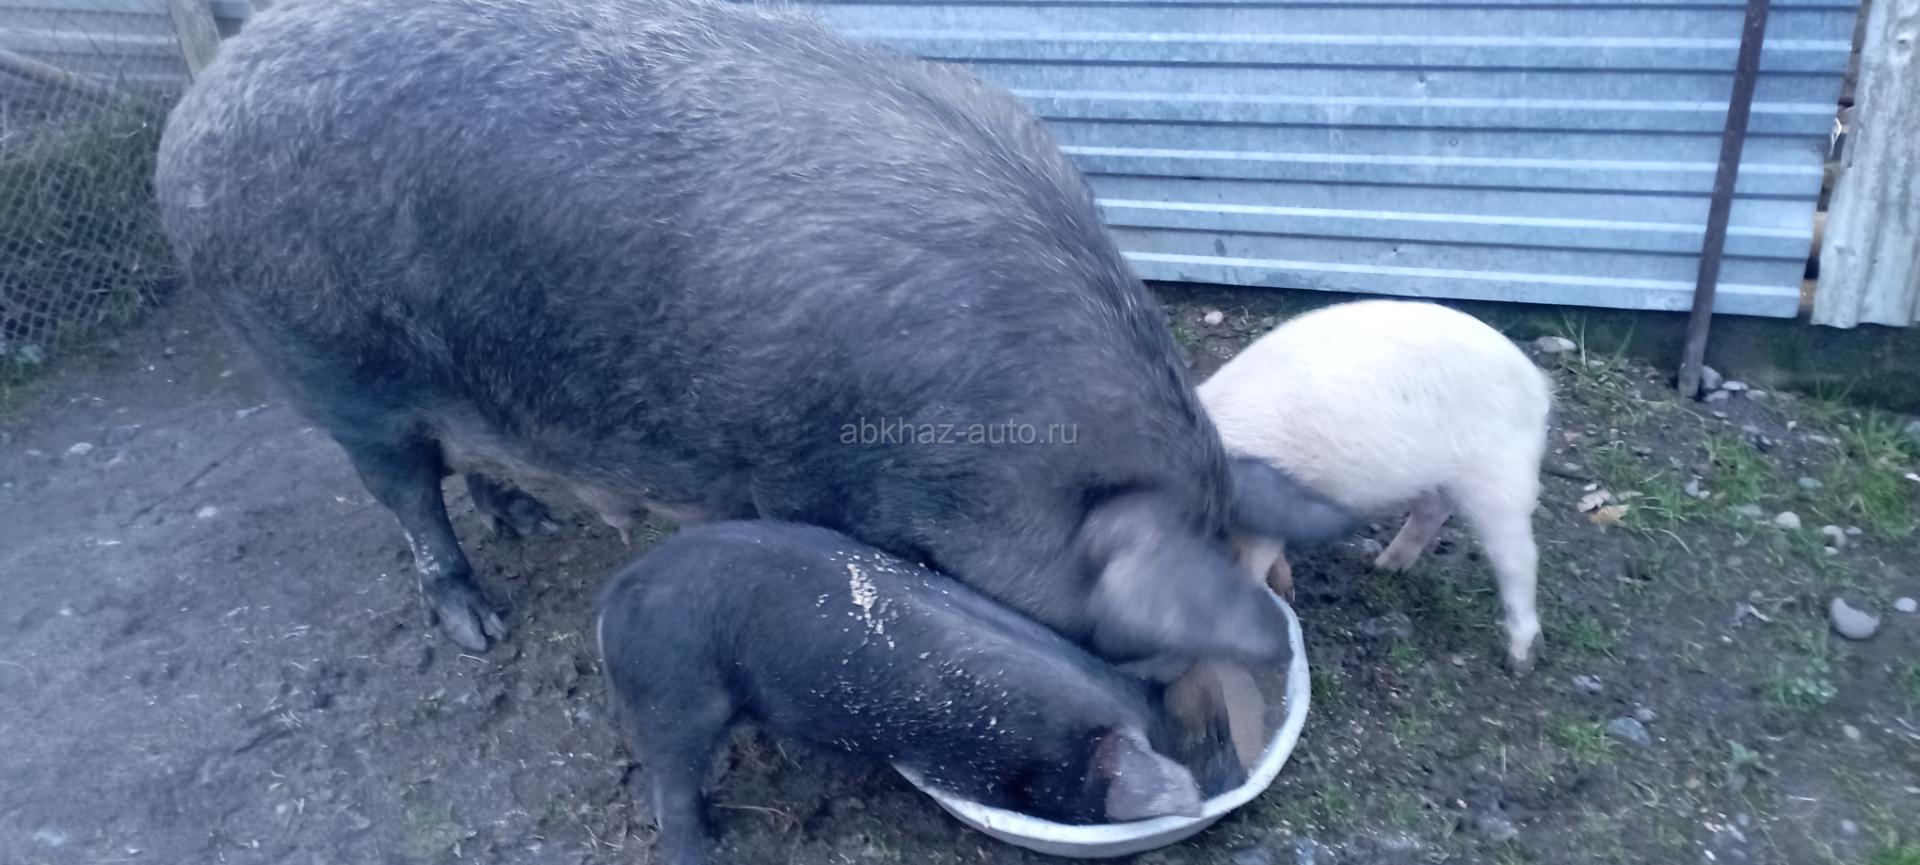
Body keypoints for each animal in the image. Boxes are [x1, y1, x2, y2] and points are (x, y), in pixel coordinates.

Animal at [153, 0, 1353, 660]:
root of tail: (190, 116)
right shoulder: (800, 475)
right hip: (319, 353)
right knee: (403, 490)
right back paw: (479, 630)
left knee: (465, 457)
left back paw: (531, 525)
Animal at [597, 520, 1247, 865]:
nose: (1224, 785)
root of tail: (619, 596)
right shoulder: (971, 765)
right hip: (678, 691)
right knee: (672, 787)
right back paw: (705, 847)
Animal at [1197, 300, 1553, 671]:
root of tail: (1536, 379)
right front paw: (1285, 589)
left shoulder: (1261, 523)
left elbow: (1249, 566)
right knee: (1433, 509)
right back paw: (1384, 567)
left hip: (1503, 474)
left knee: (1518, 557)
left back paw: (1519, 660)